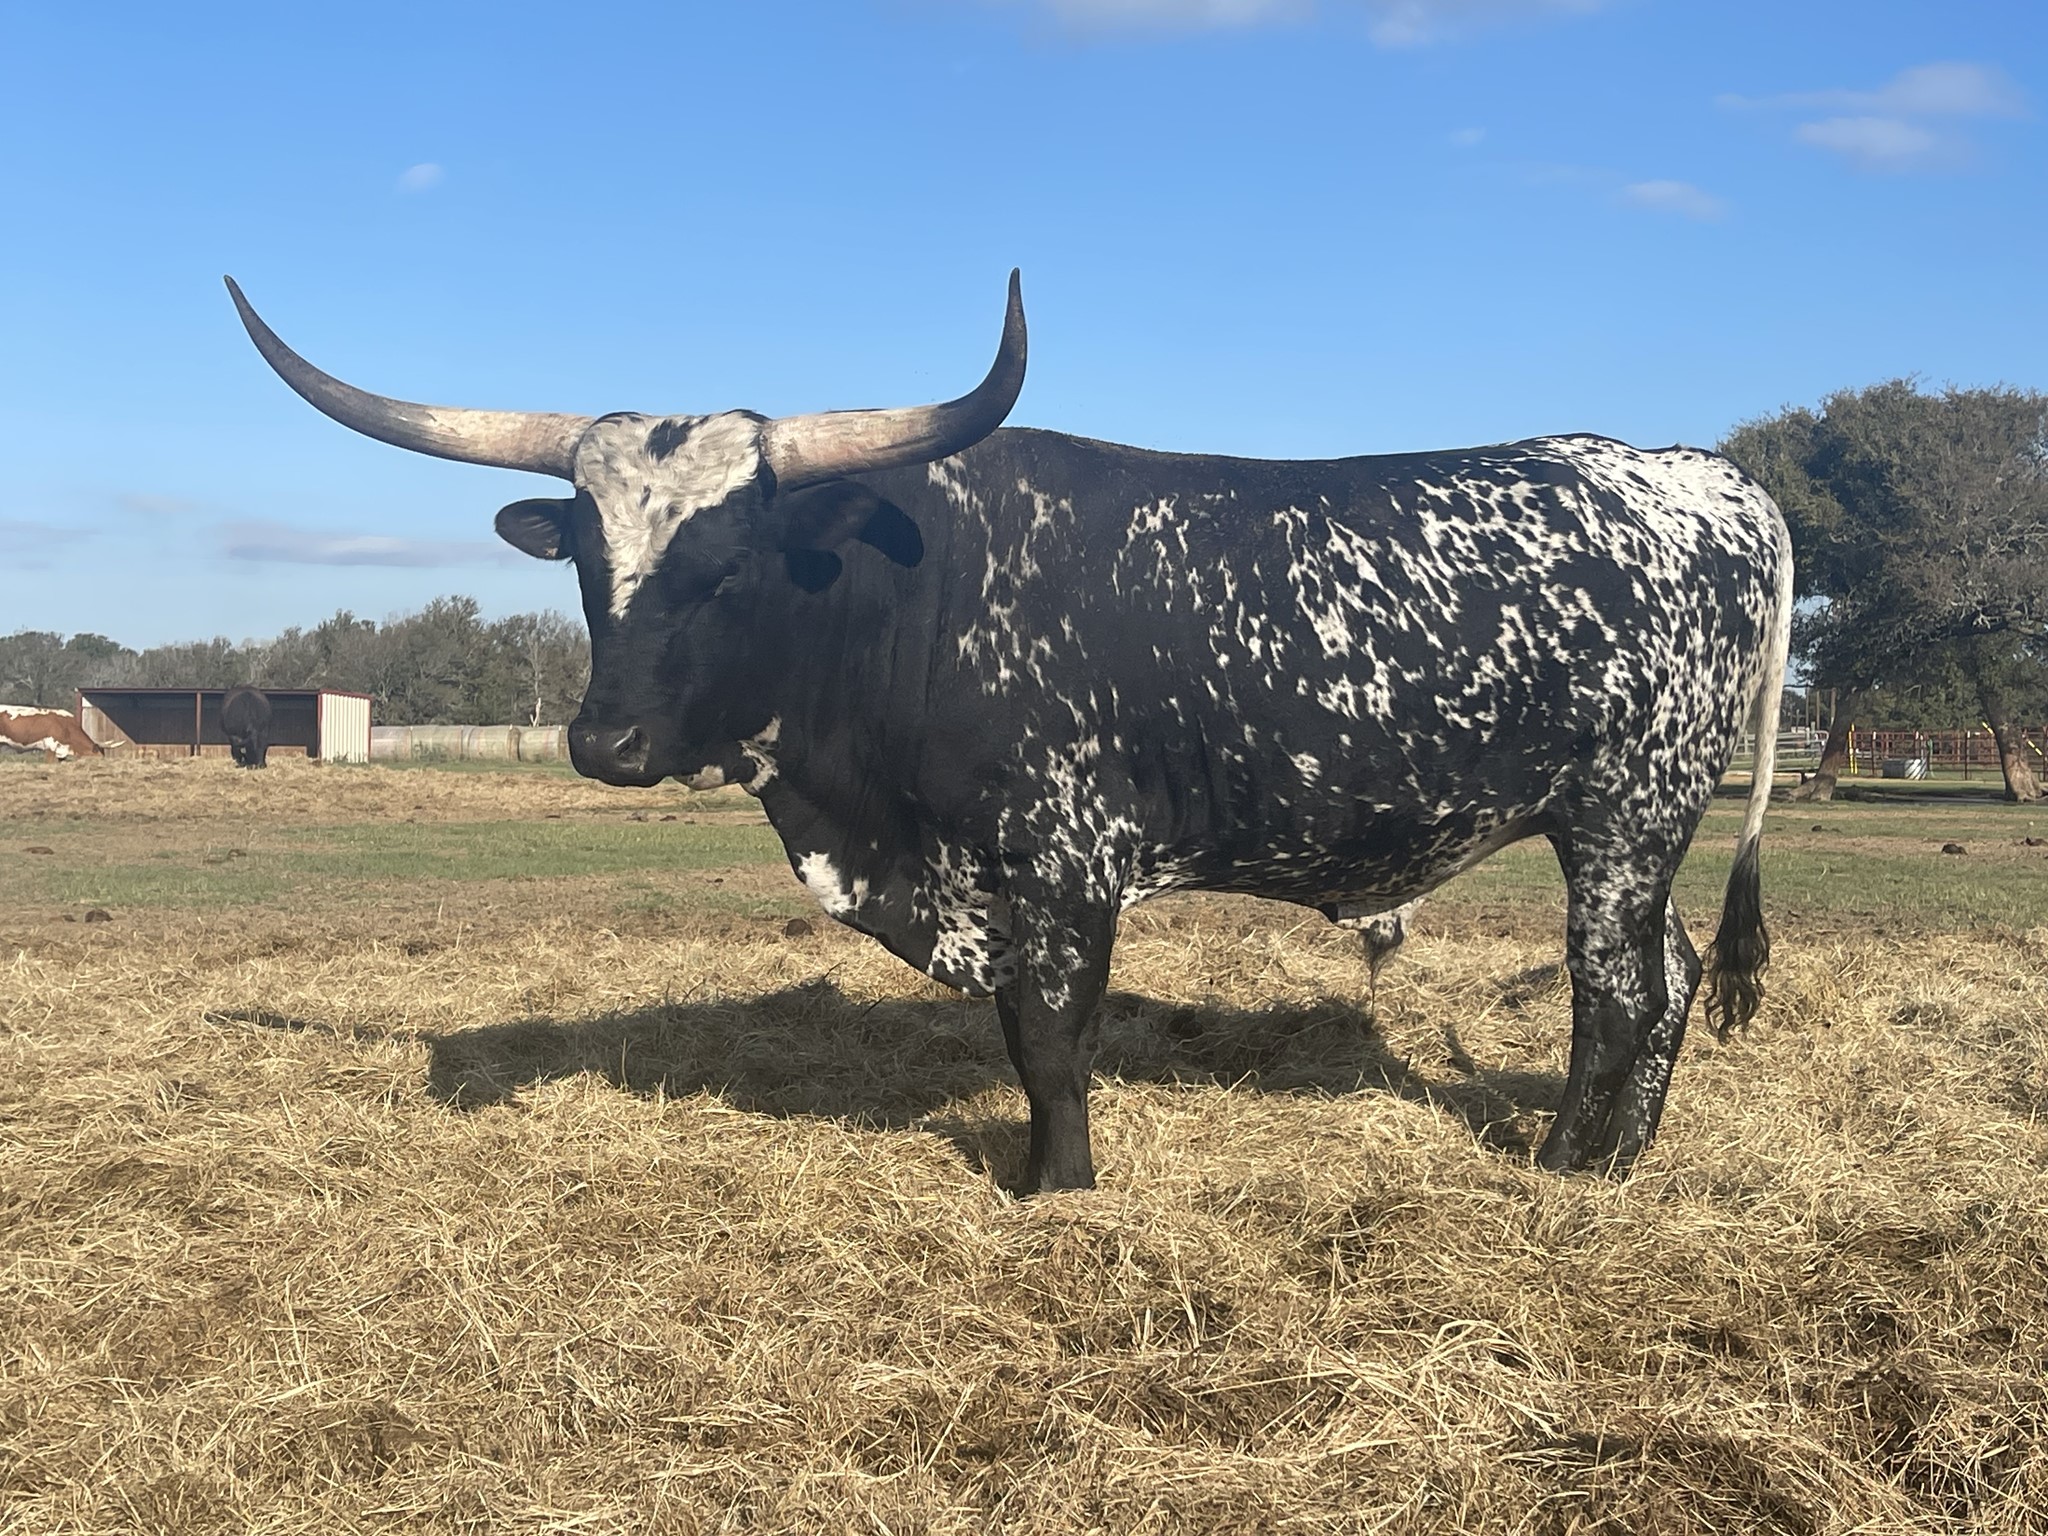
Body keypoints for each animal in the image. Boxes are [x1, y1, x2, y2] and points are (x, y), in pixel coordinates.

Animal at [228, 273, 1793, 1194]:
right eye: (586, 559)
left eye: (730, 564)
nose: (603, 745)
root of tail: (1701, 479)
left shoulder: (1063, 859)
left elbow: (1048, 1038)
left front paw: (1058, 1192)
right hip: (1632, 831)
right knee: (1669, 972)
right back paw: (1624, 1163)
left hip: (1621, 817)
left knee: (1618, 993)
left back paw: (1564, 1170)